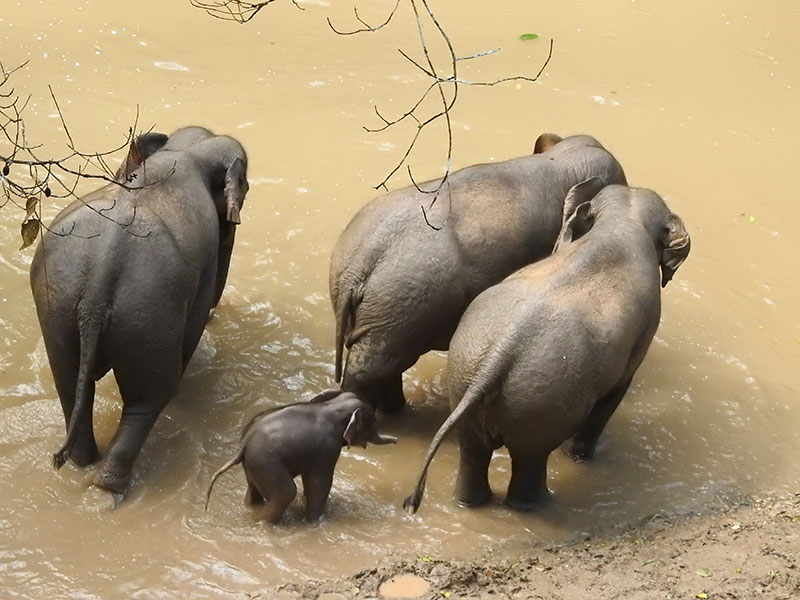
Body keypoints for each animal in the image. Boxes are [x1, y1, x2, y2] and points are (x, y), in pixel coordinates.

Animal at [30, 125, 250, 492]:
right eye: (246, 187)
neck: (187, 153)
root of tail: (100, 279)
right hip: (150, 318)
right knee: (147, 400)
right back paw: (110, 486)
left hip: (58, 308)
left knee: (72, 386)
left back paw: (84, 466)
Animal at [205, 392, 396, 524]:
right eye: (372, 424)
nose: (396, 441)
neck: (333, 405)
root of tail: (244, 442)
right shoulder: (327, 449)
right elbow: (319, 484)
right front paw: (316, 522)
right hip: (266, 463)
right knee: (286, 493)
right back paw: (263, 523)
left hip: (253, 465)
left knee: (253, 490)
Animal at [404, 180, 692, 512]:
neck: (623, 221)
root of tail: (497, 356)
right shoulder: (641, 337)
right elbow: (613, 396)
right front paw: (579, 459)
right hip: (541, 401)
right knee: (531, 457)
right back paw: (538, 503)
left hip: (464, 378)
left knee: (474, 451)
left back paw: (471, 503)